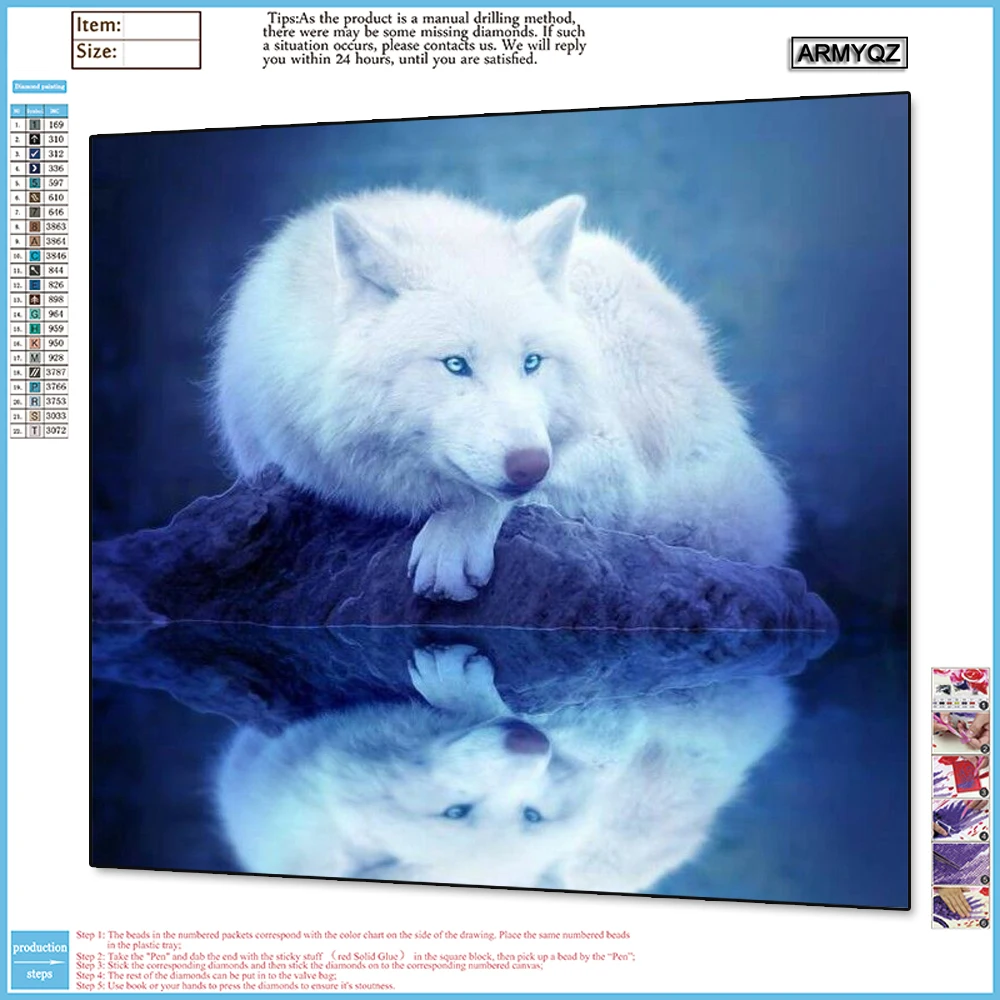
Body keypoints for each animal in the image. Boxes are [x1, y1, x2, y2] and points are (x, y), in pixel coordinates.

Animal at [214, 190, 792, 601]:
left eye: (531, 362)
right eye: (455, 365)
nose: (529, 464)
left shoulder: (610, 455)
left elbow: (490, 495)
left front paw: (455, 536)